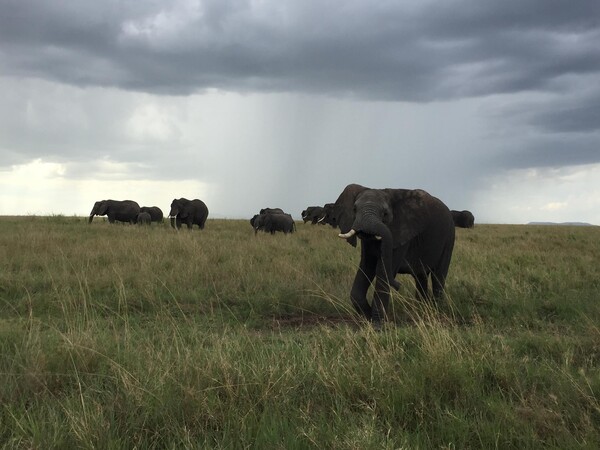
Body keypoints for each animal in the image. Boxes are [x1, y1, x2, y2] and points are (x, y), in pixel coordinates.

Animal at [332, 185, 454, 328]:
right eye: (354, 209)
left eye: (385, 213)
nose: (398, 285)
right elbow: (367, 266)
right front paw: (368, 319)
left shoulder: (402, 233)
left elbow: (382, 271)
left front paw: (378, 326)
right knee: (420, 276)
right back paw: (422, 309)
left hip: (449, 237)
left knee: (438, 275)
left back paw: (435, 310)